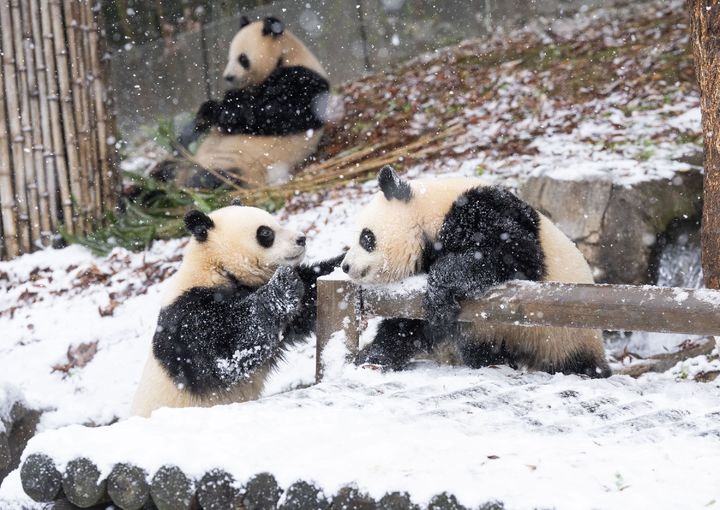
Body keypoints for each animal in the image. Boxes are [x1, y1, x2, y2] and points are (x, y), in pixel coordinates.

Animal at [132, 197, 344, 416]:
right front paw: (282, 284)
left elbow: (309, 296)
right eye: (265, 233)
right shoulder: (187, 319)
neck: (216, 267)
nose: (301, 239)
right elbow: (227, 353)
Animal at [173, 16, 330, 190]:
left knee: (215, 178)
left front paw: (220, 112)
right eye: (229, 58)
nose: (228, 77)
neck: (286, 56)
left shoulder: (305, 81)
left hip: (241, 165)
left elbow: (279, 112)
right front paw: (206, 112)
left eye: (242, 59)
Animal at [340, 167, 612, 378]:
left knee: (577, 362)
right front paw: (372, 357)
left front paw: (439, 290)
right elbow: (412, 324)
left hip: (566, 333)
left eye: (366, 238)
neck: (431, 212)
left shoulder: (481, 210)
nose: (345, 266)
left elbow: (515, 255)